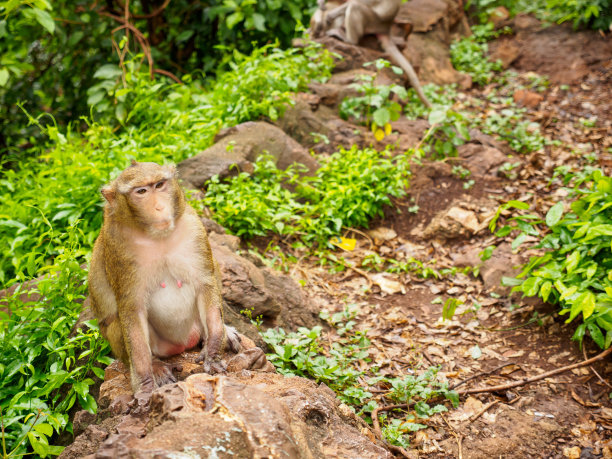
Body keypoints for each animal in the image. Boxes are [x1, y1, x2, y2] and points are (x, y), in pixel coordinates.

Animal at [88, 160, 241, 394]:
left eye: (159, 185)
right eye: (141, 191)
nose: (159, 207)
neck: (157, 237)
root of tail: (183, 343)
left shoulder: (193, 226)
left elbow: (205, 283)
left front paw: (214, 352)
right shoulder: (117, 247)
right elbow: (132, 309)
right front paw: (145, 384)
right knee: (116, 324)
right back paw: (156, 365)